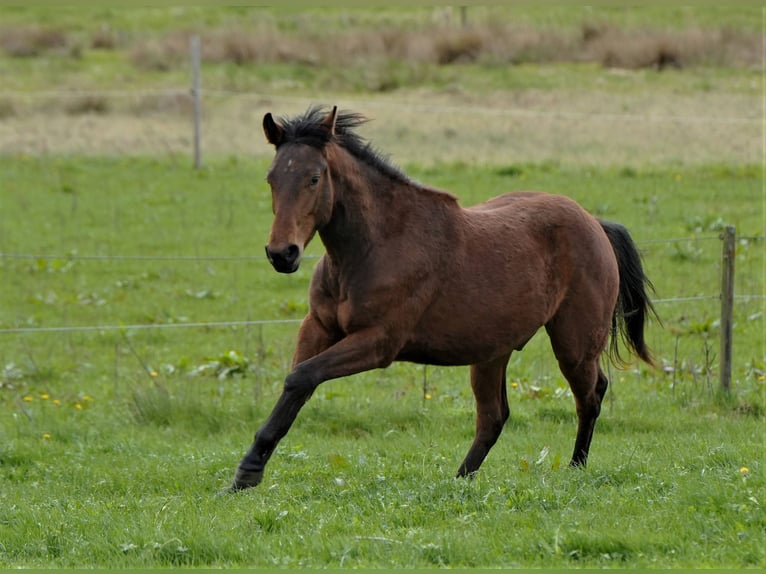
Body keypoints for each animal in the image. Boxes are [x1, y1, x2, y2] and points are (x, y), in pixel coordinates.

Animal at [230, 105, 656, 491]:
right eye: (271, 178)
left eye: (314, 178)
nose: (282, 254)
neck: (373, 247)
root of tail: (595, 223)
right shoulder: (318, 327)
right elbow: (296, 383)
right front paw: (244, 475)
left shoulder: (378, 342)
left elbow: (301, 377)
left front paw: (248, 472)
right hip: (492, 352)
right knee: (494, 416)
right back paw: (460, 481)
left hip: (573, 344)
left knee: (590, 395)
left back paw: (575, 468)